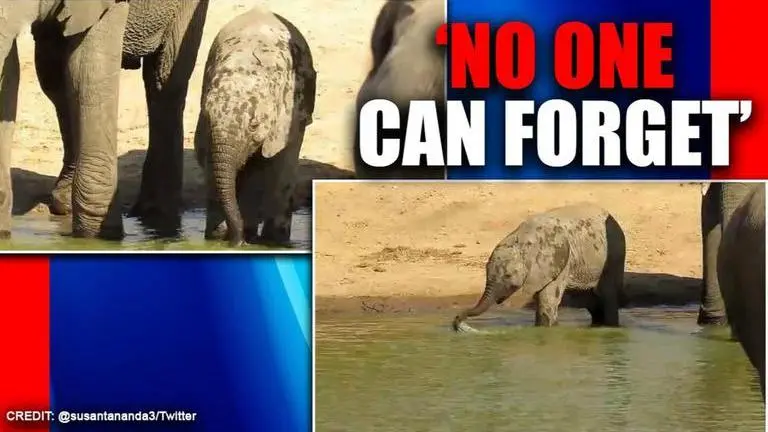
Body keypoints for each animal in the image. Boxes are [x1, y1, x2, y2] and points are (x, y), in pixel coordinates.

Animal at [194, 7, 316, 247]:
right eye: (207, 117)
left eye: (254, 125)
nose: (235, 242)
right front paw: (216, 239)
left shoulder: (288, 113)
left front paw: (255, 239)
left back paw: (273, 239)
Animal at [453, 203, 627, 332]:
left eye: (508, 276)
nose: (457, 320)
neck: (522, 239)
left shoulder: (559, 261)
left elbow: (547, 299)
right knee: (590, 300)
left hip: (614, 256)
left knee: (607, 295)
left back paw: (610, 327)